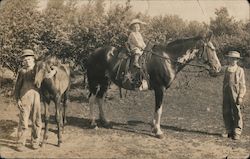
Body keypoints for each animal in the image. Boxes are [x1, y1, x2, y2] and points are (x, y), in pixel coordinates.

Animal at [86, 34, 221, 138]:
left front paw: (153, 126)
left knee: (100, 99)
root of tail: (92, 53)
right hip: (95, 82)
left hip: (105, 83)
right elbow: (159, 109)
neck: (168, 59)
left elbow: (156, 109)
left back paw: (105, 122)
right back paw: (93, 123)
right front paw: (158, 131)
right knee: (92, 100)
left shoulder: (159, 90)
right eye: (211, 49)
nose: (218, 68)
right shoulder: (160, 89)